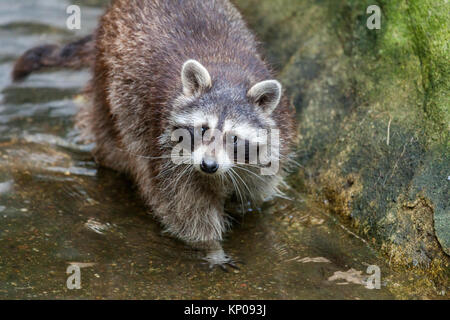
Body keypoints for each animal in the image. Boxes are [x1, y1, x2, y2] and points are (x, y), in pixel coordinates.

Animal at [12, 0, 298, 268]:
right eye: (203, 128)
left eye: (234, 138)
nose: (208, 165)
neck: (229, 76)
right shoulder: (166, 150)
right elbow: (185, 208)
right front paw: (211, 246)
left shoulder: (276, 136)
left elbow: (257, 185)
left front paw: (243, 204)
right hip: (108, 77)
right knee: (110, 132)